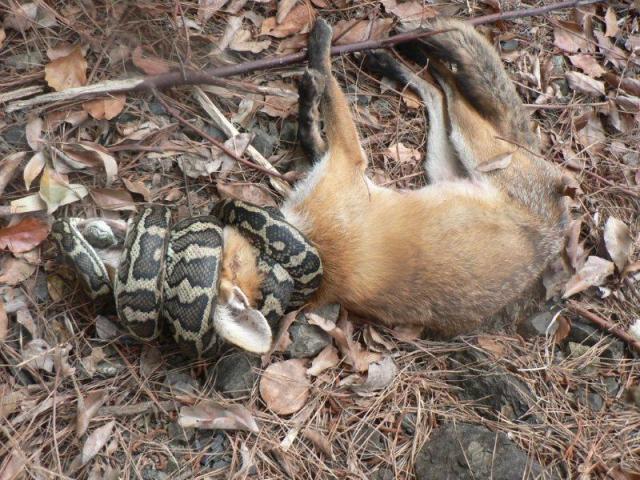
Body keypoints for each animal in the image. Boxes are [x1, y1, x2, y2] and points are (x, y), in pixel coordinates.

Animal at [217, 18, 570, 349]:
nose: (218, 205)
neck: (313, 243)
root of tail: (557, 230)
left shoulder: (346, 161)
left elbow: (326, 93)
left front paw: (317, 59)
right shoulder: (344, 166)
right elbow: (323, 114)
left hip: (473, 147)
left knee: (448, 89)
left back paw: (403, 57)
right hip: (448, 160)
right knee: (443, 92)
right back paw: (403, 60)